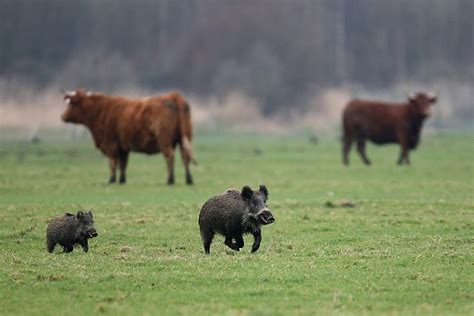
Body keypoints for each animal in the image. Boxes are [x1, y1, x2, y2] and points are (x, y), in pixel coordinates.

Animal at [61, 89, 194, 184]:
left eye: (71, 103)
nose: (63, 116)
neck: (101, 110)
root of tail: (174, 95)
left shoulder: (111, 144)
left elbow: (113, 162)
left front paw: (112, 179)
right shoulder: (123, 148)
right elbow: (123, 164)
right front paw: (122, 179)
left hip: (164, 140)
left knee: (170, 156)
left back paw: (170, 180)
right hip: (184, 138)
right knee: (185, 156)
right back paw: (189, 179)